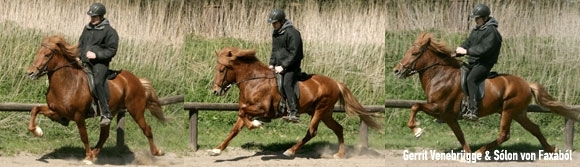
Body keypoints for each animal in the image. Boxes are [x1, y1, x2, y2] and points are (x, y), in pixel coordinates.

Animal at [26, 35, 167, 163]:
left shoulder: (78, 116)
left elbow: (84, 136)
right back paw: (95, 154)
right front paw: (38, 131)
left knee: (146, 129)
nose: (30, 73)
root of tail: (136, 80)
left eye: (47, 54)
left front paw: (87, 157)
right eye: (38, 52)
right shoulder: (57, 112)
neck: (68, 83)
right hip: (110, 113)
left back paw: (157, 152)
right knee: (104, 135)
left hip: (136, 110)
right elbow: (35, 109)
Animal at [208, 47, 380, 158]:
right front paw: (217, 150)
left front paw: (256, 124)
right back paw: (340, 154)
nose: (215, 91)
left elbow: (242, 114)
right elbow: (235, 129)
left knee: (312, 131)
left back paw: (290, 151)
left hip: (320, 110)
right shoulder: (247, 109)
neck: (254, 81)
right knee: (338, 128)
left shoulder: (263, 110)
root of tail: (336, 83)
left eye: (222, 70)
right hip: (325, 113)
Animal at [392, 32, 580, 154]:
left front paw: (417, 130)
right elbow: (460, 136)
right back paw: (551, 149)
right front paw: (467, 155)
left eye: (414, 53)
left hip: (508, 110)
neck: (440, 76)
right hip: (518, 113)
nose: (396, 71)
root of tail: (526, 84)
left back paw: (480, 152)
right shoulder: (449, 117)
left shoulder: (438, 108)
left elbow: (415, 106)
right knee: (534, 128)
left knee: (504, 135)